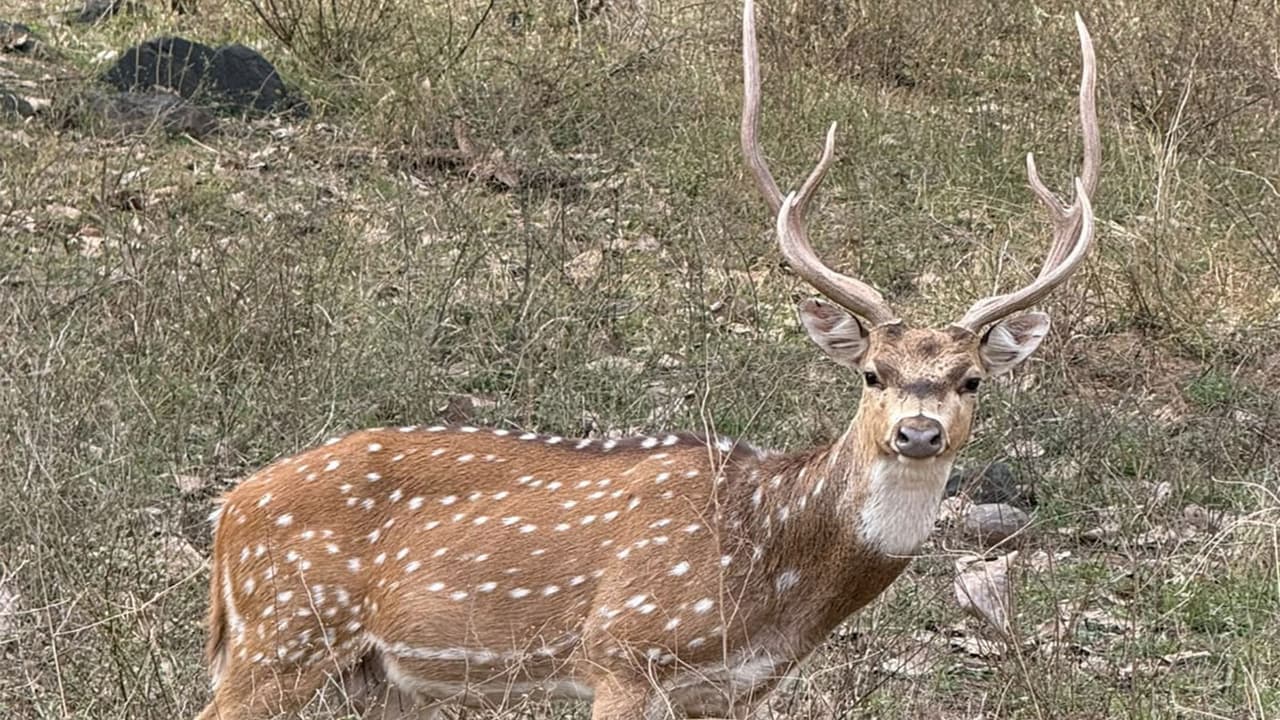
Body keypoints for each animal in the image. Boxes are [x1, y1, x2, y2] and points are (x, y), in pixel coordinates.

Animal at [195, 1, 1099, 718]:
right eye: (871, 372)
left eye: (971, 379)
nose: (917, 432)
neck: (770, 568)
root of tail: (230, 512)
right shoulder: (625, 652)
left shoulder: (730, 693)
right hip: (282, 631)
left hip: (374, 675)